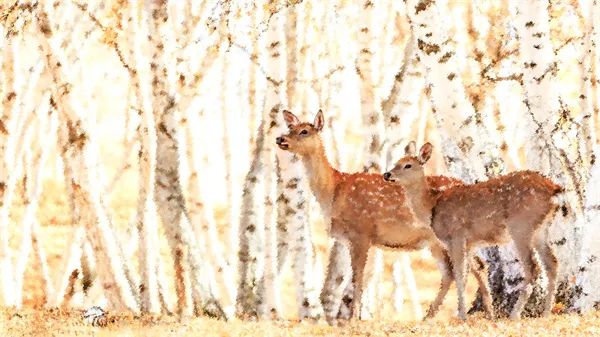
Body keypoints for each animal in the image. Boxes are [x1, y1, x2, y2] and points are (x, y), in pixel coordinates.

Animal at [274, 109, 490, 320]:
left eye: (304, 131)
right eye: (290, 127)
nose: (280, 138)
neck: (334, 192)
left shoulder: (361, 231)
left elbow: (358, 277)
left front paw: (354, 318)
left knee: (474, 265)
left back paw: (485, 311)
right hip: (434, 241)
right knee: (451, 271)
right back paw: (430, 317)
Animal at [384, 140, 564, 318]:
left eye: (408, 165)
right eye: (396, 162)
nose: (387, 174)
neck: (432, 207)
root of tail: (555, 189)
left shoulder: (456, 236)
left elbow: (458, 274)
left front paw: (461, 315)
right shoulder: (469, 243)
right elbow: (465, 275)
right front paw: (463, 313)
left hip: (521, 225)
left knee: (533, 267)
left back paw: (515, 315)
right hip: (541, 230)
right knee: (552, 263)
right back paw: (546, 313)